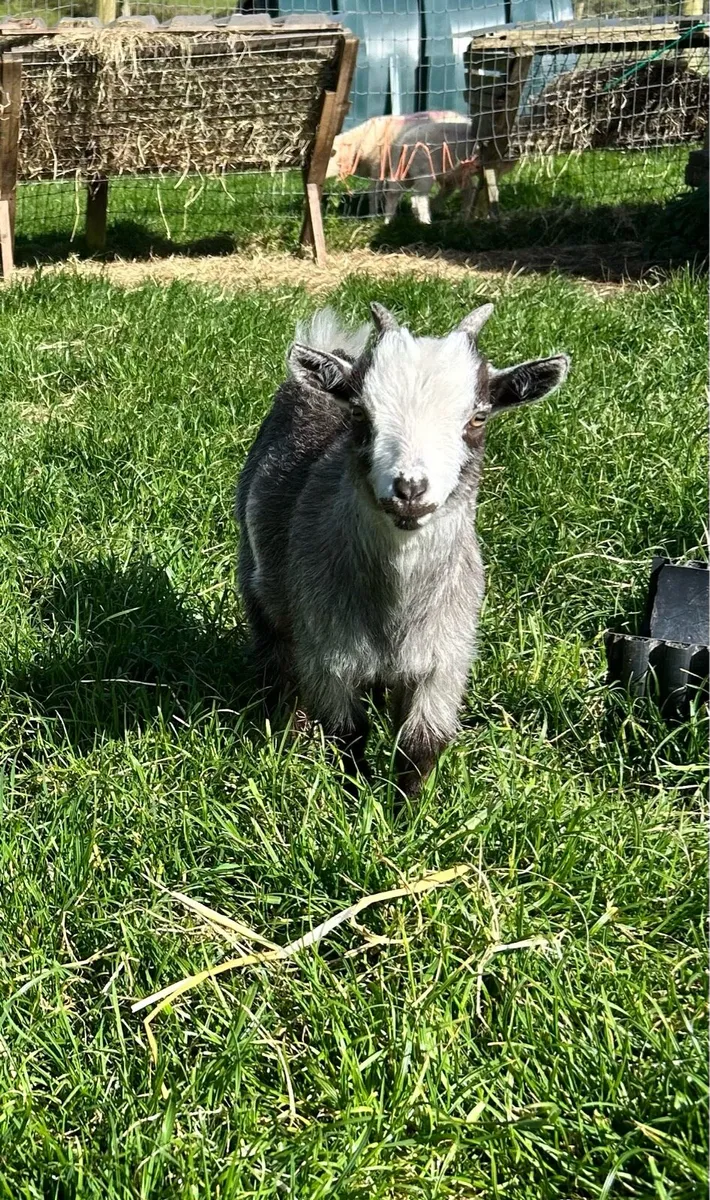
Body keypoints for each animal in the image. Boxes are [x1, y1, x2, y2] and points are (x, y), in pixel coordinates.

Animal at [236, 303, 569, 797]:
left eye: (478, 418)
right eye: (360, 413)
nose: (410, 489)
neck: (397, 607)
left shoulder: (444, 662)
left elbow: (418, 747)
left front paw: (407, 811)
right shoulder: (328, 654)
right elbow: (347, 734)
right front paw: (357, 800)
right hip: (260, 582)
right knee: (277, 654)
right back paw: (285, 729)